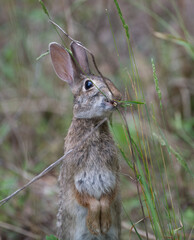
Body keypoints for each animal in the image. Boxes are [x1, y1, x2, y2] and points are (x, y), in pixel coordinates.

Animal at [48, 41, 121, 240]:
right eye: (89, 84)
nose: (118, 96)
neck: (92, 124)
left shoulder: (112, 174)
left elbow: (107, 198)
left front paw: (104, 224)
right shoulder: (75, 179)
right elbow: (89, 201)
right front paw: (96, 227)